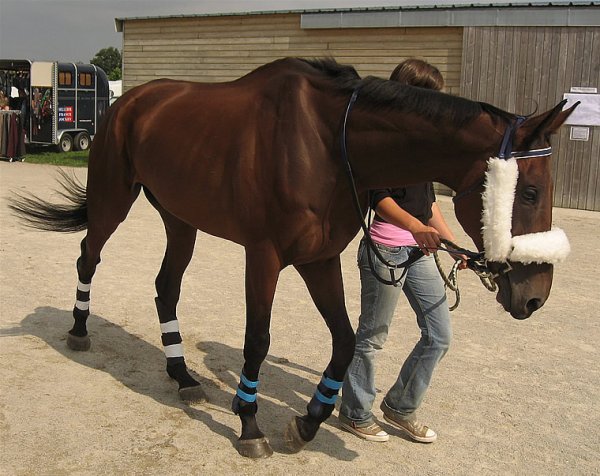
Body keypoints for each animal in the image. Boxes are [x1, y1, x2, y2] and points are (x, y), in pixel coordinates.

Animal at [9, 56, 580, 458]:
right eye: (529, 192)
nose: (535, 297)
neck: (328, 143)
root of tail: (129, 102)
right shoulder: (263, 257)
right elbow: (257, 340)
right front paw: (248, 422)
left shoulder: (320, 260)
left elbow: (346, 341)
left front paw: (309, 421)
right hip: (113, 196)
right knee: (87, 258)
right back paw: (79, 330)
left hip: (180, 220)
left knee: (165, 287)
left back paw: (183, 376)